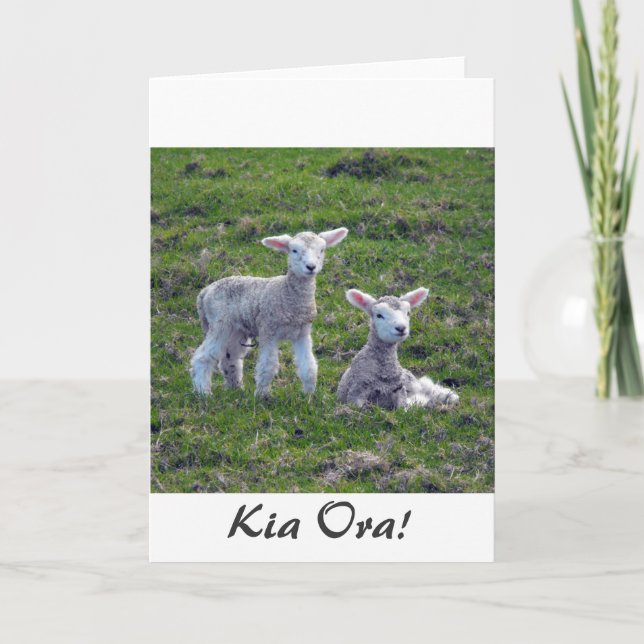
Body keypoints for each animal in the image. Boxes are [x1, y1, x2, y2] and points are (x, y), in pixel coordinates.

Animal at [190, 227, 348, 397]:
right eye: (294, 250)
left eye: (322, 250)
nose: (311, 267)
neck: (287, 294)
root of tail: (205, 292)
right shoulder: (268, 330)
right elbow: (268, 365)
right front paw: (262, 395)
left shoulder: (302, 333)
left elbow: (308, 365)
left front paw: (309, 395)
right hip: (220, 323)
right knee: (202, 357)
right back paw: (204, 392)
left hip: (237, 329)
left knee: (230, 358)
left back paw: (236, 388)